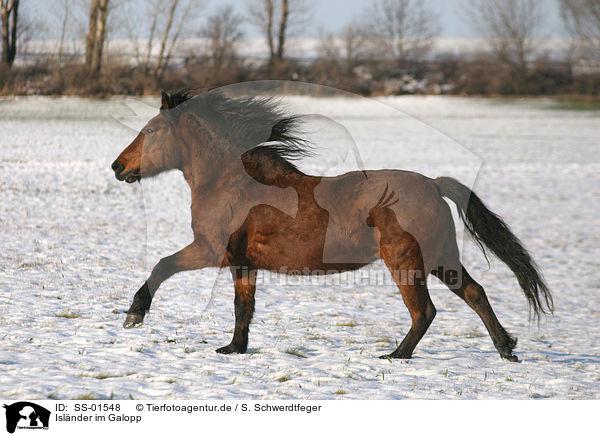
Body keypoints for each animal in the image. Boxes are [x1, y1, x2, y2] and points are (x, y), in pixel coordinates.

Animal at [112, 89, 552, 362]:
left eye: (151, 131)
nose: (118, 167)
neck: (230, 181)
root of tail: (432, 183)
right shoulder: (243, 261)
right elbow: (243, 307)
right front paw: (234, 349)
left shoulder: (210, 249)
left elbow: (162, 266)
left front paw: (134, 314)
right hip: (442, 257)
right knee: (474, 293)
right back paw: (506, 349)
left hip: (405, 261)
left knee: (424, 310)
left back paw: (397, 355)